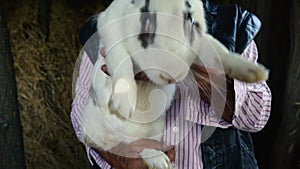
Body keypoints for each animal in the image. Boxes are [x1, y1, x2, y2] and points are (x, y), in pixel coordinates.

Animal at [80, 0, 270, 168]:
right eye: (147, 23)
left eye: (190, 21)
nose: (170, 74)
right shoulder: (110, 29)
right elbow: (121, 58)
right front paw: (124, 103)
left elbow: (219, 52)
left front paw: (253, 72)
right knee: (128, 146)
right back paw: (158, 160)